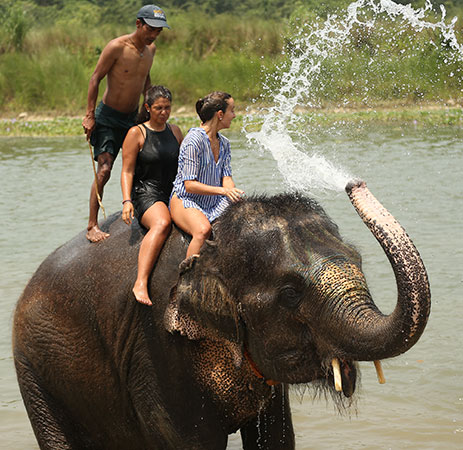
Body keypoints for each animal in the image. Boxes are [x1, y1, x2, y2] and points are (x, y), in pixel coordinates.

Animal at [11, 181, 432, 448]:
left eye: (358, 260)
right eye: (290, 293)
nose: (353, 183)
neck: (216, 241)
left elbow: (277, 438)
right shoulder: (157, 344)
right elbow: (189, 440)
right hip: (34, 370)